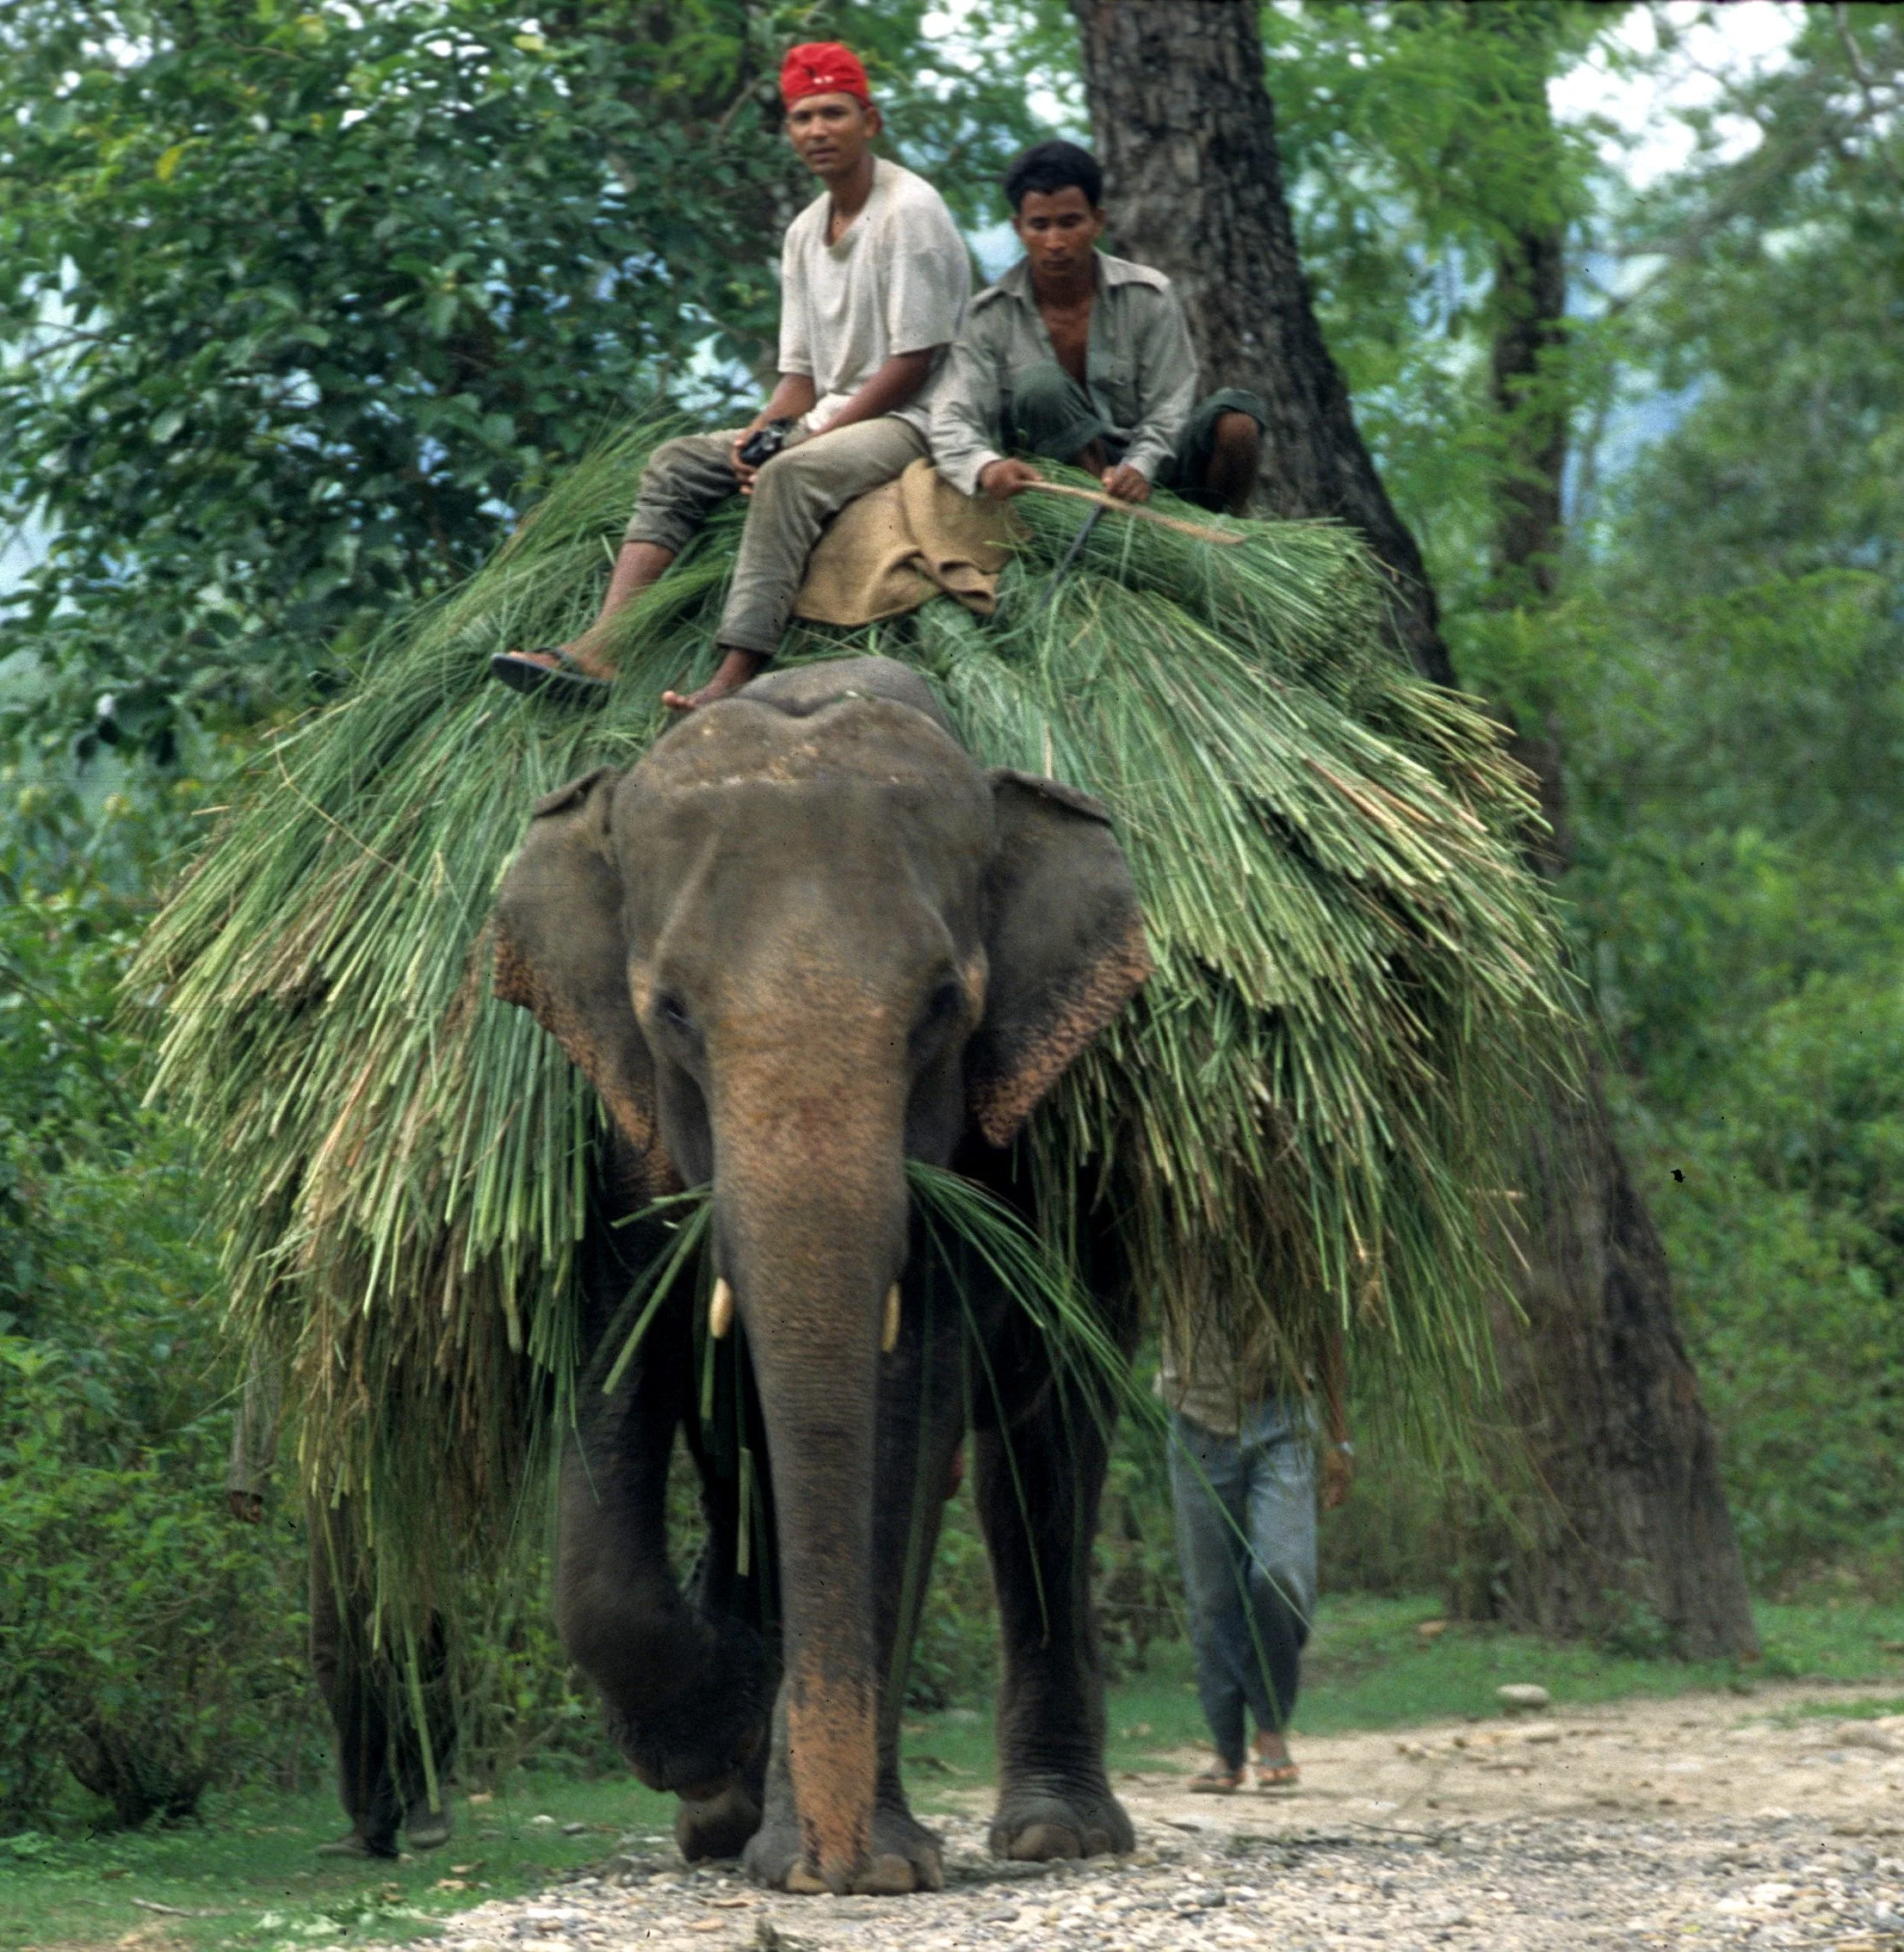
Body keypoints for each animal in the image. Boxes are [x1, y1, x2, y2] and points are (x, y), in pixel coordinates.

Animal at [493, 655, 1152, 1895]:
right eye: (671, 1013)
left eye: (944, 1007)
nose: (833, 1868)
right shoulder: (611, 1122)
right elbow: (617, 1359)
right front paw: (717, 1749)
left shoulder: (976, 1156)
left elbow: (905, 1411)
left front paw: (855, 1866)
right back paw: (725, 1807)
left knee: (1045, 1453)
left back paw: (1055, 1836)